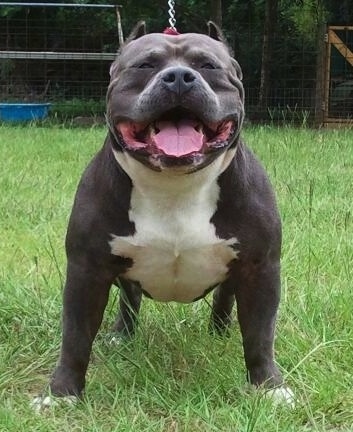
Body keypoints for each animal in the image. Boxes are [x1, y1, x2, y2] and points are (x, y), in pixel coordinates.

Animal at [39, 22, 294, 406]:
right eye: (145, 65)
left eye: (208, 66)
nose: (178, 78)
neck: (175, 186)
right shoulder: (87, 269)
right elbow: (75, 336)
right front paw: (61, 394)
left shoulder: (259, 267)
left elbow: (261, 335)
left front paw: (269, 387)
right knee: (129, 299)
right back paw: (122, 334)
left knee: (225, 297)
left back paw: (219, 331)